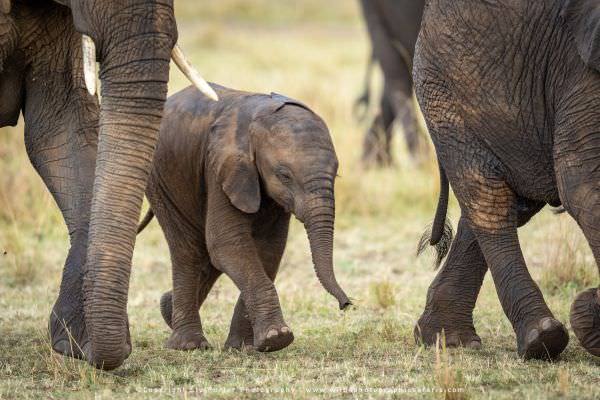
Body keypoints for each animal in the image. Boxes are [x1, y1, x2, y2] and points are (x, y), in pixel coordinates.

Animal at [140, 84, 352, 354]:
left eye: (336, 175)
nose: (345, 305)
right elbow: (228, 244)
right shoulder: (221, 167)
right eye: (284, 175)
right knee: (187, 249)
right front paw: (277, 338)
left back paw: (167, 310)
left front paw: (246, 347)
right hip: (160, 177)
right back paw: (189, 345)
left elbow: (268, 249)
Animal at [414, 0, 600, 360]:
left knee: (507, 202)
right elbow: (581, 184)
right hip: (447, 83)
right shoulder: (583, 69)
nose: (592, 296)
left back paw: (445, 340)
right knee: (490, 200)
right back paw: (541, 339)